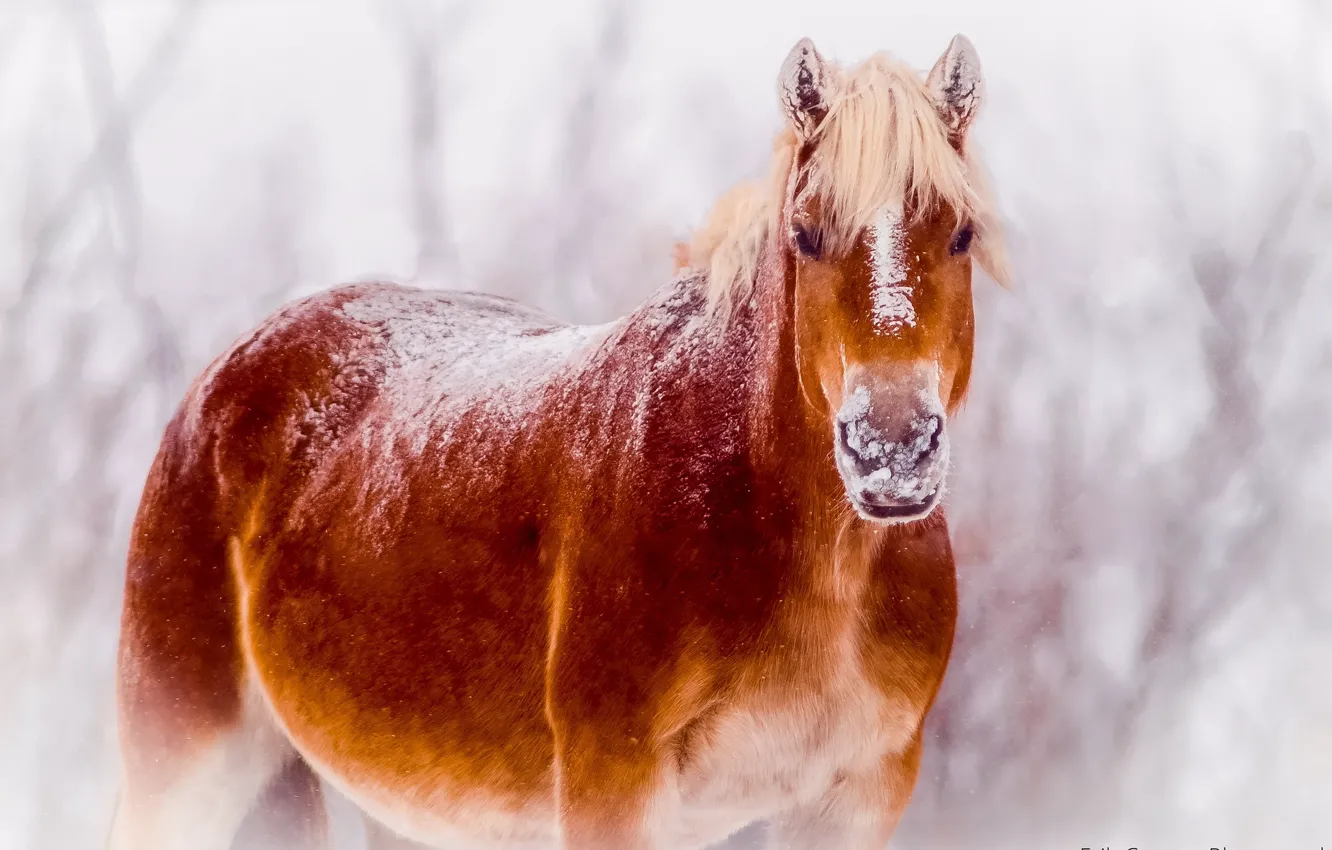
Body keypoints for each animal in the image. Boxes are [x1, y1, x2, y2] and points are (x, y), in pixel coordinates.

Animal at [111, 33, 1006, 850]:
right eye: (806, 233)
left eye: (960, 233)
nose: (891, 448)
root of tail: (224, 376)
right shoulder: (613, 779)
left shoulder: (857, 792)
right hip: (186, 760)